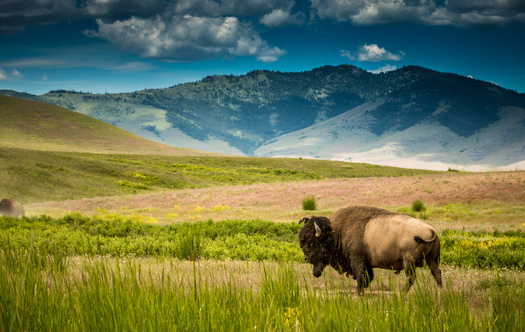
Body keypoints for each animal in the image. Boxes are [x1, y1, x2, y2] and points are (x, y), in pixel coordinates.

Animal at [296, 205, 440, 294]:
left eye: (311, 242)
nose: (305, 258)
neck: (335, 232)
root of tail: (431, 230)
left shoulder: (357, 259)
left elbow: (360, 275)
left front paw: (357, 292)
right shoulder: (367, 262)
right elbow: (368, 276)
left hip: (409, 262)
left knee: (411, 277)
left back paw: (403, 292)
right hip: (432, 259)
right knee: (436, 273)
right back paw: (441, 290)